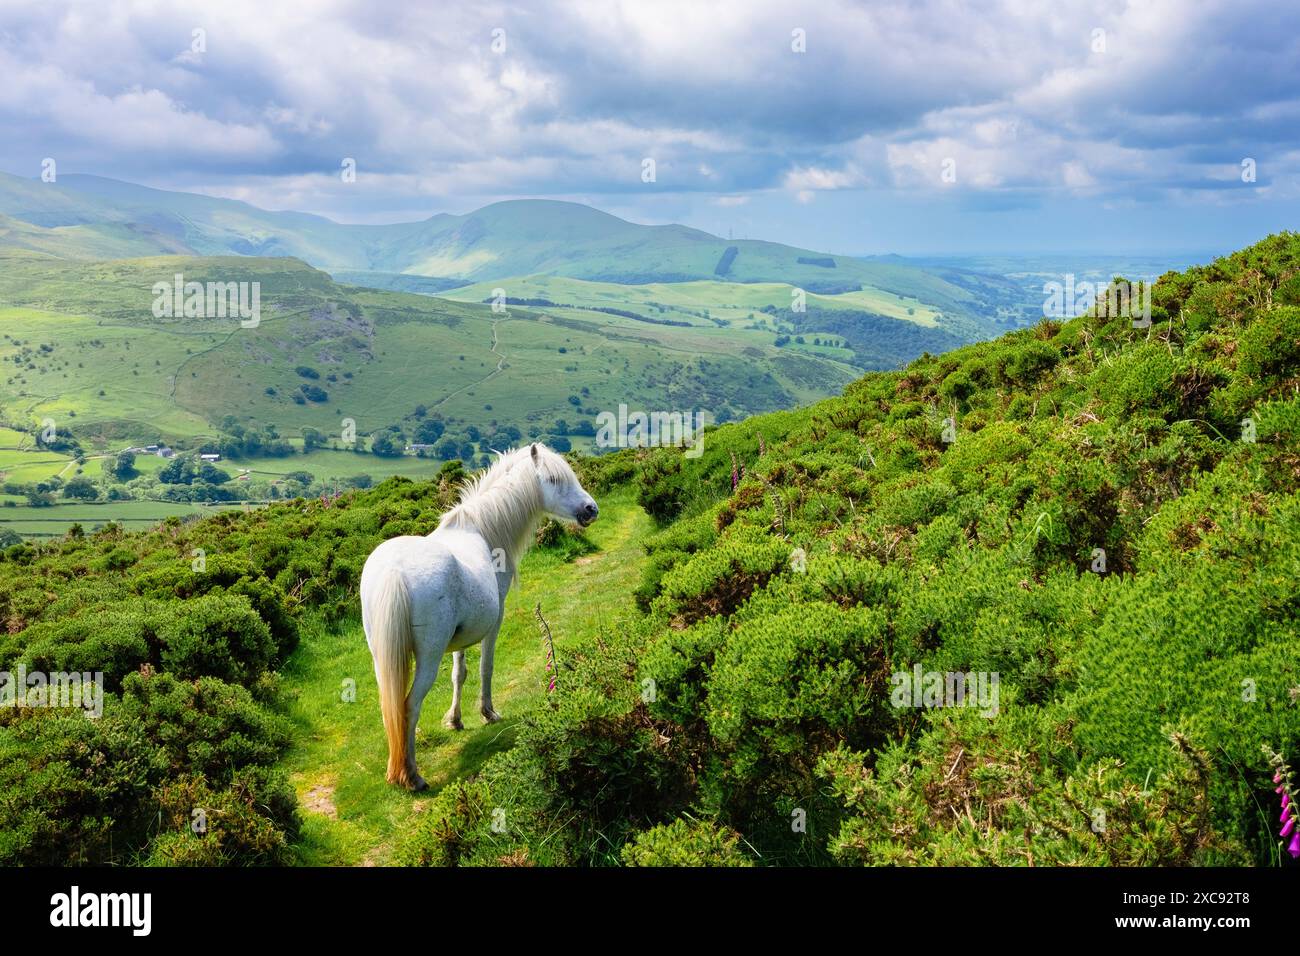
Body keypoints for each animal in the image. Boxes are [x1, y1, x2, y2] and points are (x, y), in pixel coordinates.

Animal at [358, 444, 595, 790]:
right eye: (553, 479)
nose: (591, 509)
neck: (481, 530)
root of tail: (394, 571)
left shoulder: (460, 637)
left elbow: (459, 673)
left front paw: (455, 720)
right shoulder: (493, 623)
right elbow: (486, 668)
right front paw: (488, 713)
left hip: (381, 657)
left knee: (389, 706)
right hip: (427, 658)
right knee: (409, 706)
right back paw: (412, 775)